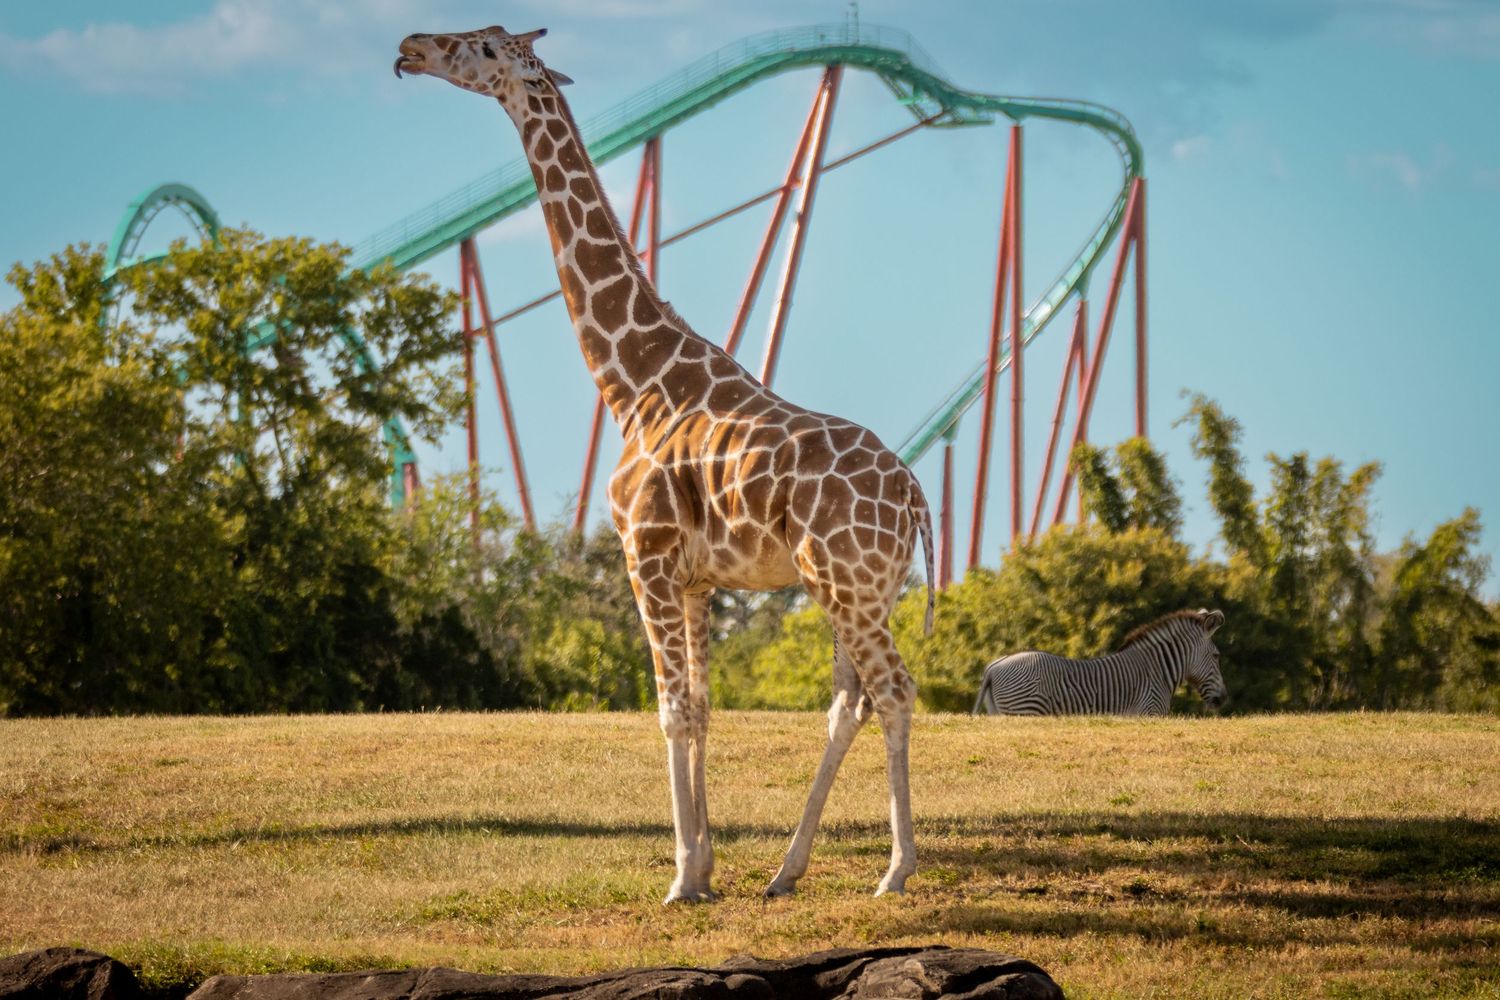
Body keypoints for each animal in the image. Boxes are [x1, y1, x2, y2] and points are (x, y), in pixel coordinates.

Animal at [395, 24, 935, 903]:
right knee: (847, 704)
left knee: (892, 690)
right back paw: (786, 870)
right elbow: (704, 709)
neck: (633, 384)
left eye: (480, 46)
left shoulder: (642, 554)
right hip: (859, 588)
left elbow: (671, 708)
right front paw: (708, 866)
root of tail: (916, 493)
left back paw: (894, 870)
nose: (410, 47)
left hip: (846, 584)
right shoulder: (695, 579)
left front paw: (682, 877)